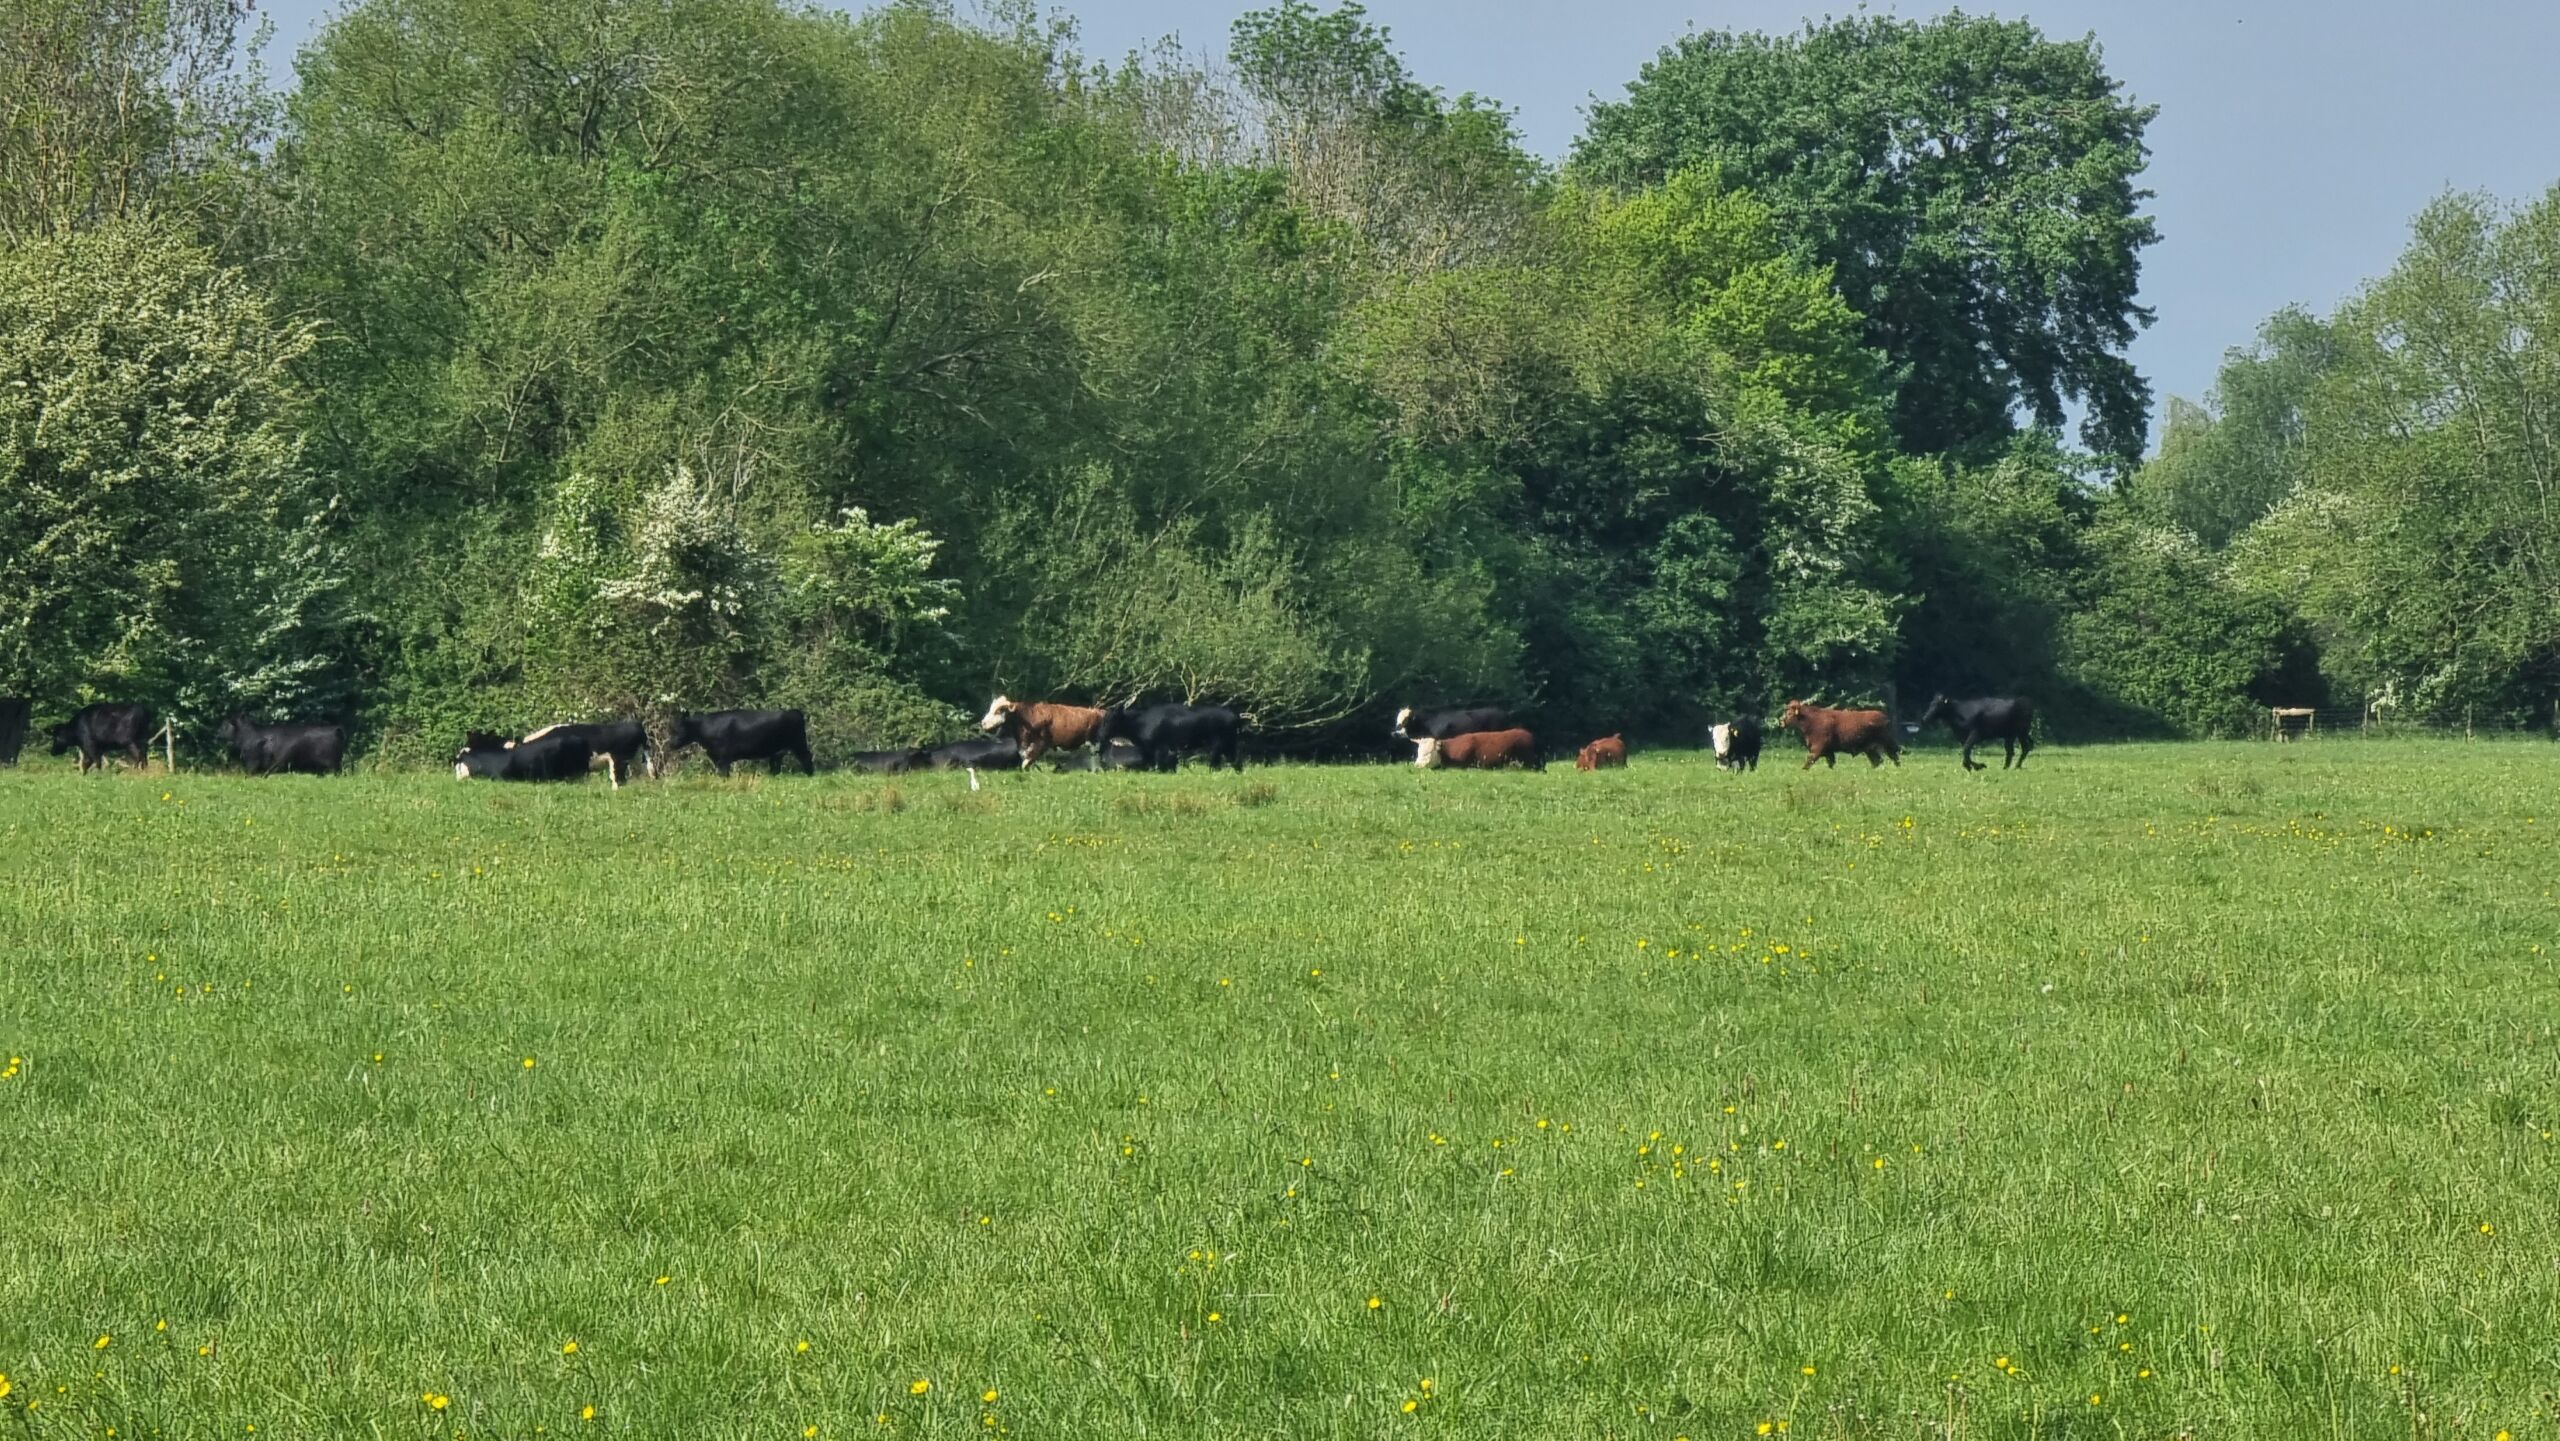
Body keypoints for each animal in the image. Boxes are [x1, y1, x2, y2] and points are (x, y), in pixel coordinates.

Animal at [666, 709, 814, 777]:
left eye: (679, 729)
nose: (670, 744)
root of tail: (795, 711)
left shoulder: (723, 758)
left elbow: (723, 774)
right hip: (778, 751)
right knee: (776, 764)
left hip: (799, 744)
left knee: (806, 757)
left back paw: (810, 775)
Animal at [978, 696, 1107, 770]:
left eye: (998, 711)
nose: (983, 723)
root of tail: (1096, 711)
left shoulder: (1040, 745)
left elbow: (1025, 764)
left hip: (1094, 745)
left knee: (1095, 762)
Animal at [1095, 703, 1245, 772]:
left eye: (1109, 720)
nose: (1100, 735)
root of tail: (1234, 716)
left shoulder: (1161, 747)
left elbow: (1159, 765)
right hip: (1229, 744)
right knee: (1236, 761)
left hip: (1218, 744)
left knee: (1216, 762)